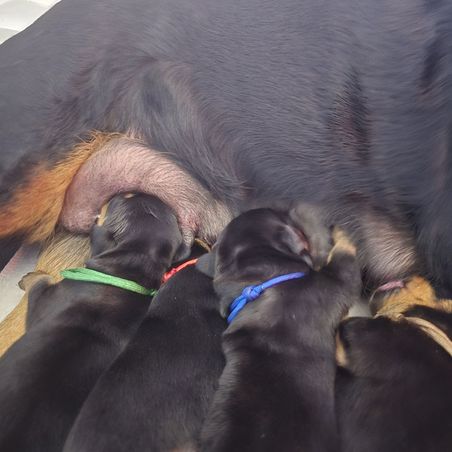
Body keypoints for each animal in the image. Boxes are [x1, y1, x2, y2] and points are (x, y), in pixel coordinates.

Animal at [0, 193, 188, 452]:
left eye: (126, 197)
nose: (142, 191)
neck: (124, 276)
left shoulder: (43, 301)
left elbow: (40, 281)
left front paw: (31, 276)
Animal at [196, 208, 362, 452]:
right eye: (284, 217)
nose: (291, 209)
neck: (264, 282)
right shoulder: (337, 282)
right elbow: (344, 256)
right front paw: (340, 231)